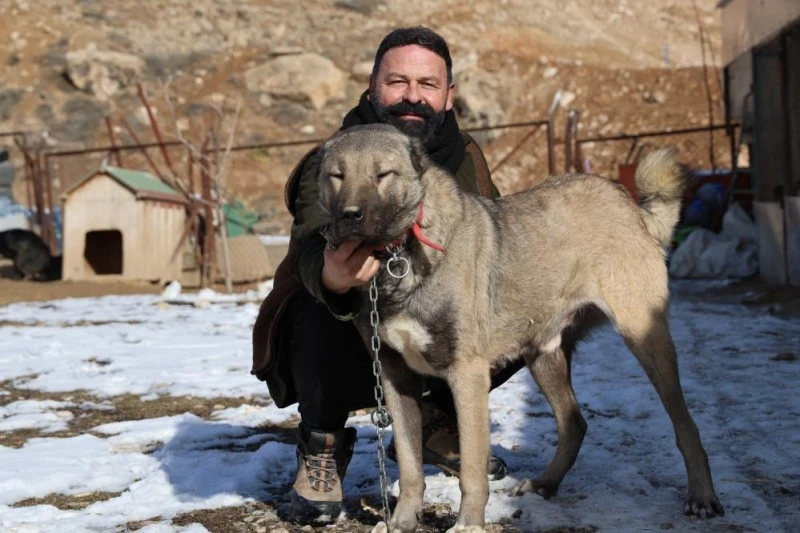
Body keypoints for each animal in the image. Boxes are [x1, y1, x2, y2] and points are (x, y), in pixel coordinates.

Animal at [314, 124, 724, 532]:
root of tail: (630, 205)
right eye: (337, 175)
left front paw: (468, 524)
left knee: (686, 426)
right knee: (574, 423)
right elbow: (412, 465)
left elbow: (472, 470)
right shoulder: (394, 376)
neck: (399, 257)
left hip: (645, 338)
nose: (350, 216)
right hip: (542, 354)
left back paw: (702, 497)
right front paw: (401, 522)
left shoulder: (467, 375)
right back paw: (545, 483)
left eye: (383, 174)